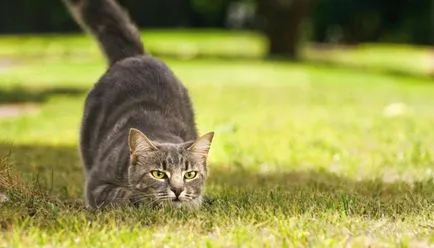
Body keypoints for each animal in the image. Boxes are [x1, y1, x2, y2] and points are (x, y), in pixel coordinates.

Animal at [62, 0, 214, 209]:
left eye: (190, 174)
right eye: (158, 174)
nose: (177, 189)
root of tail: (135, 56)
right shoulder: (96, 184)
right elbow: (124, 194)